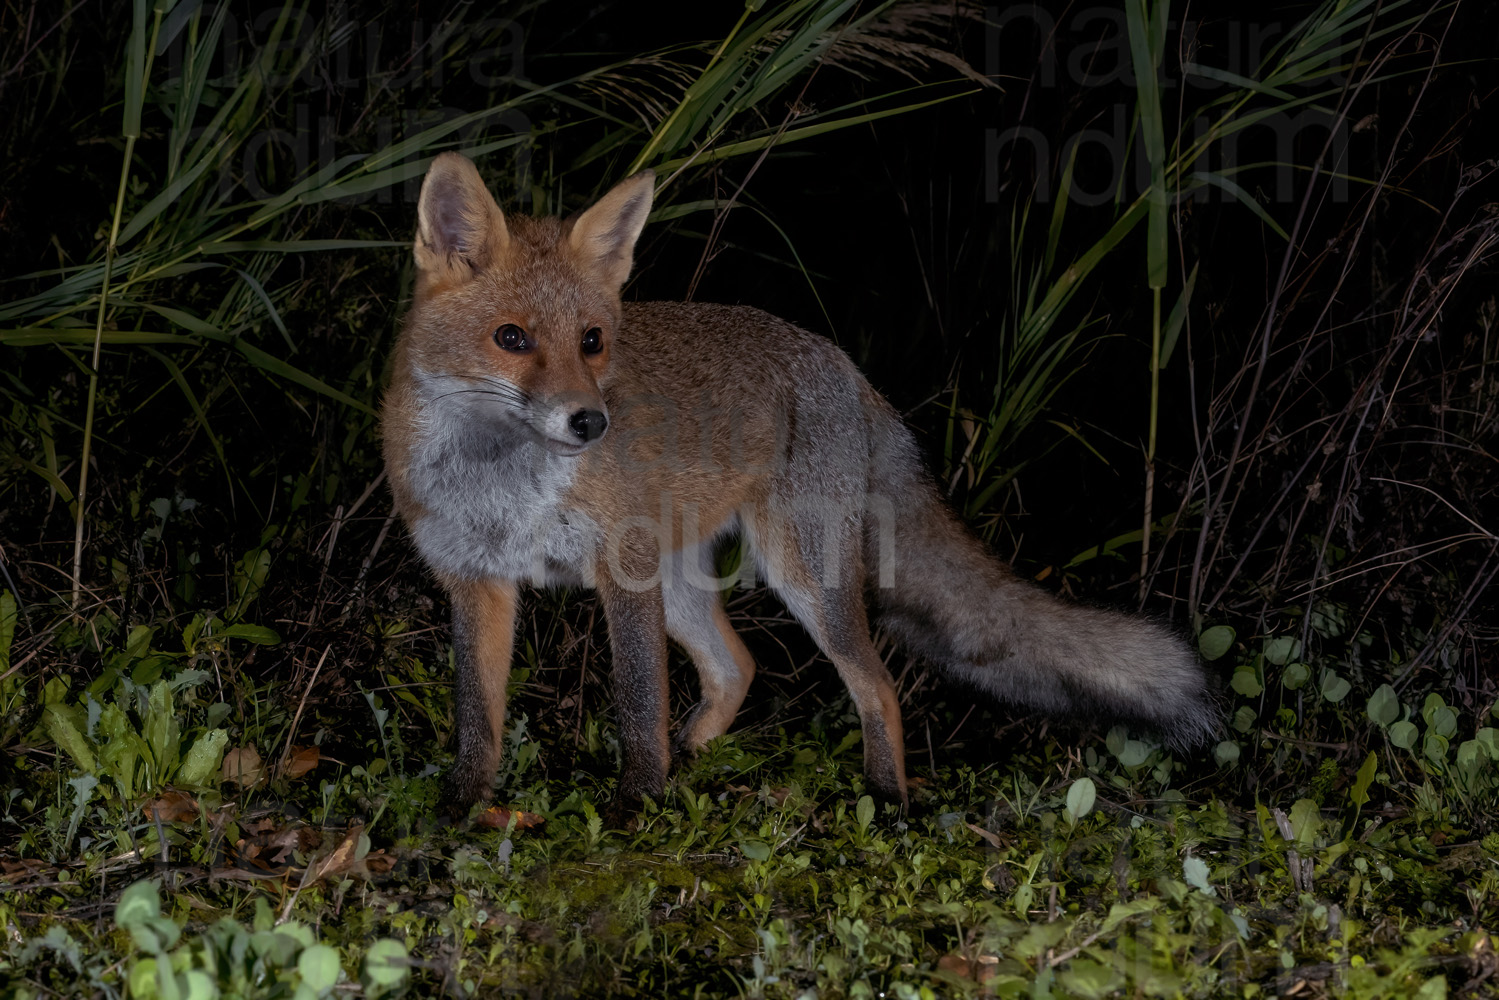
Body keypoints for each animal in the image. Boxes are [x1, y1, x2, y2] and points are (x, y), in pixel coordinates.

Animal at [380, 154, 1211, 815]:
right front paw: (462, 808)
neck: (501, 486)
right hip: (684, 581)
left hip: (801, 575)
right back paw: (698, 757)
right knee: (737, 665)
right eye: (511, 339)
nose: (590, 423)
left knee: (875, 684)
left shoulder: (621, 574)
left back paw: (886, 798)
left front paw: (637, 803)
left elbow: (636, 703)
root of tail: (850, 371)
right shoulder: (475, 581)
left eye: (592, 341)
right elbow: (477, 717)